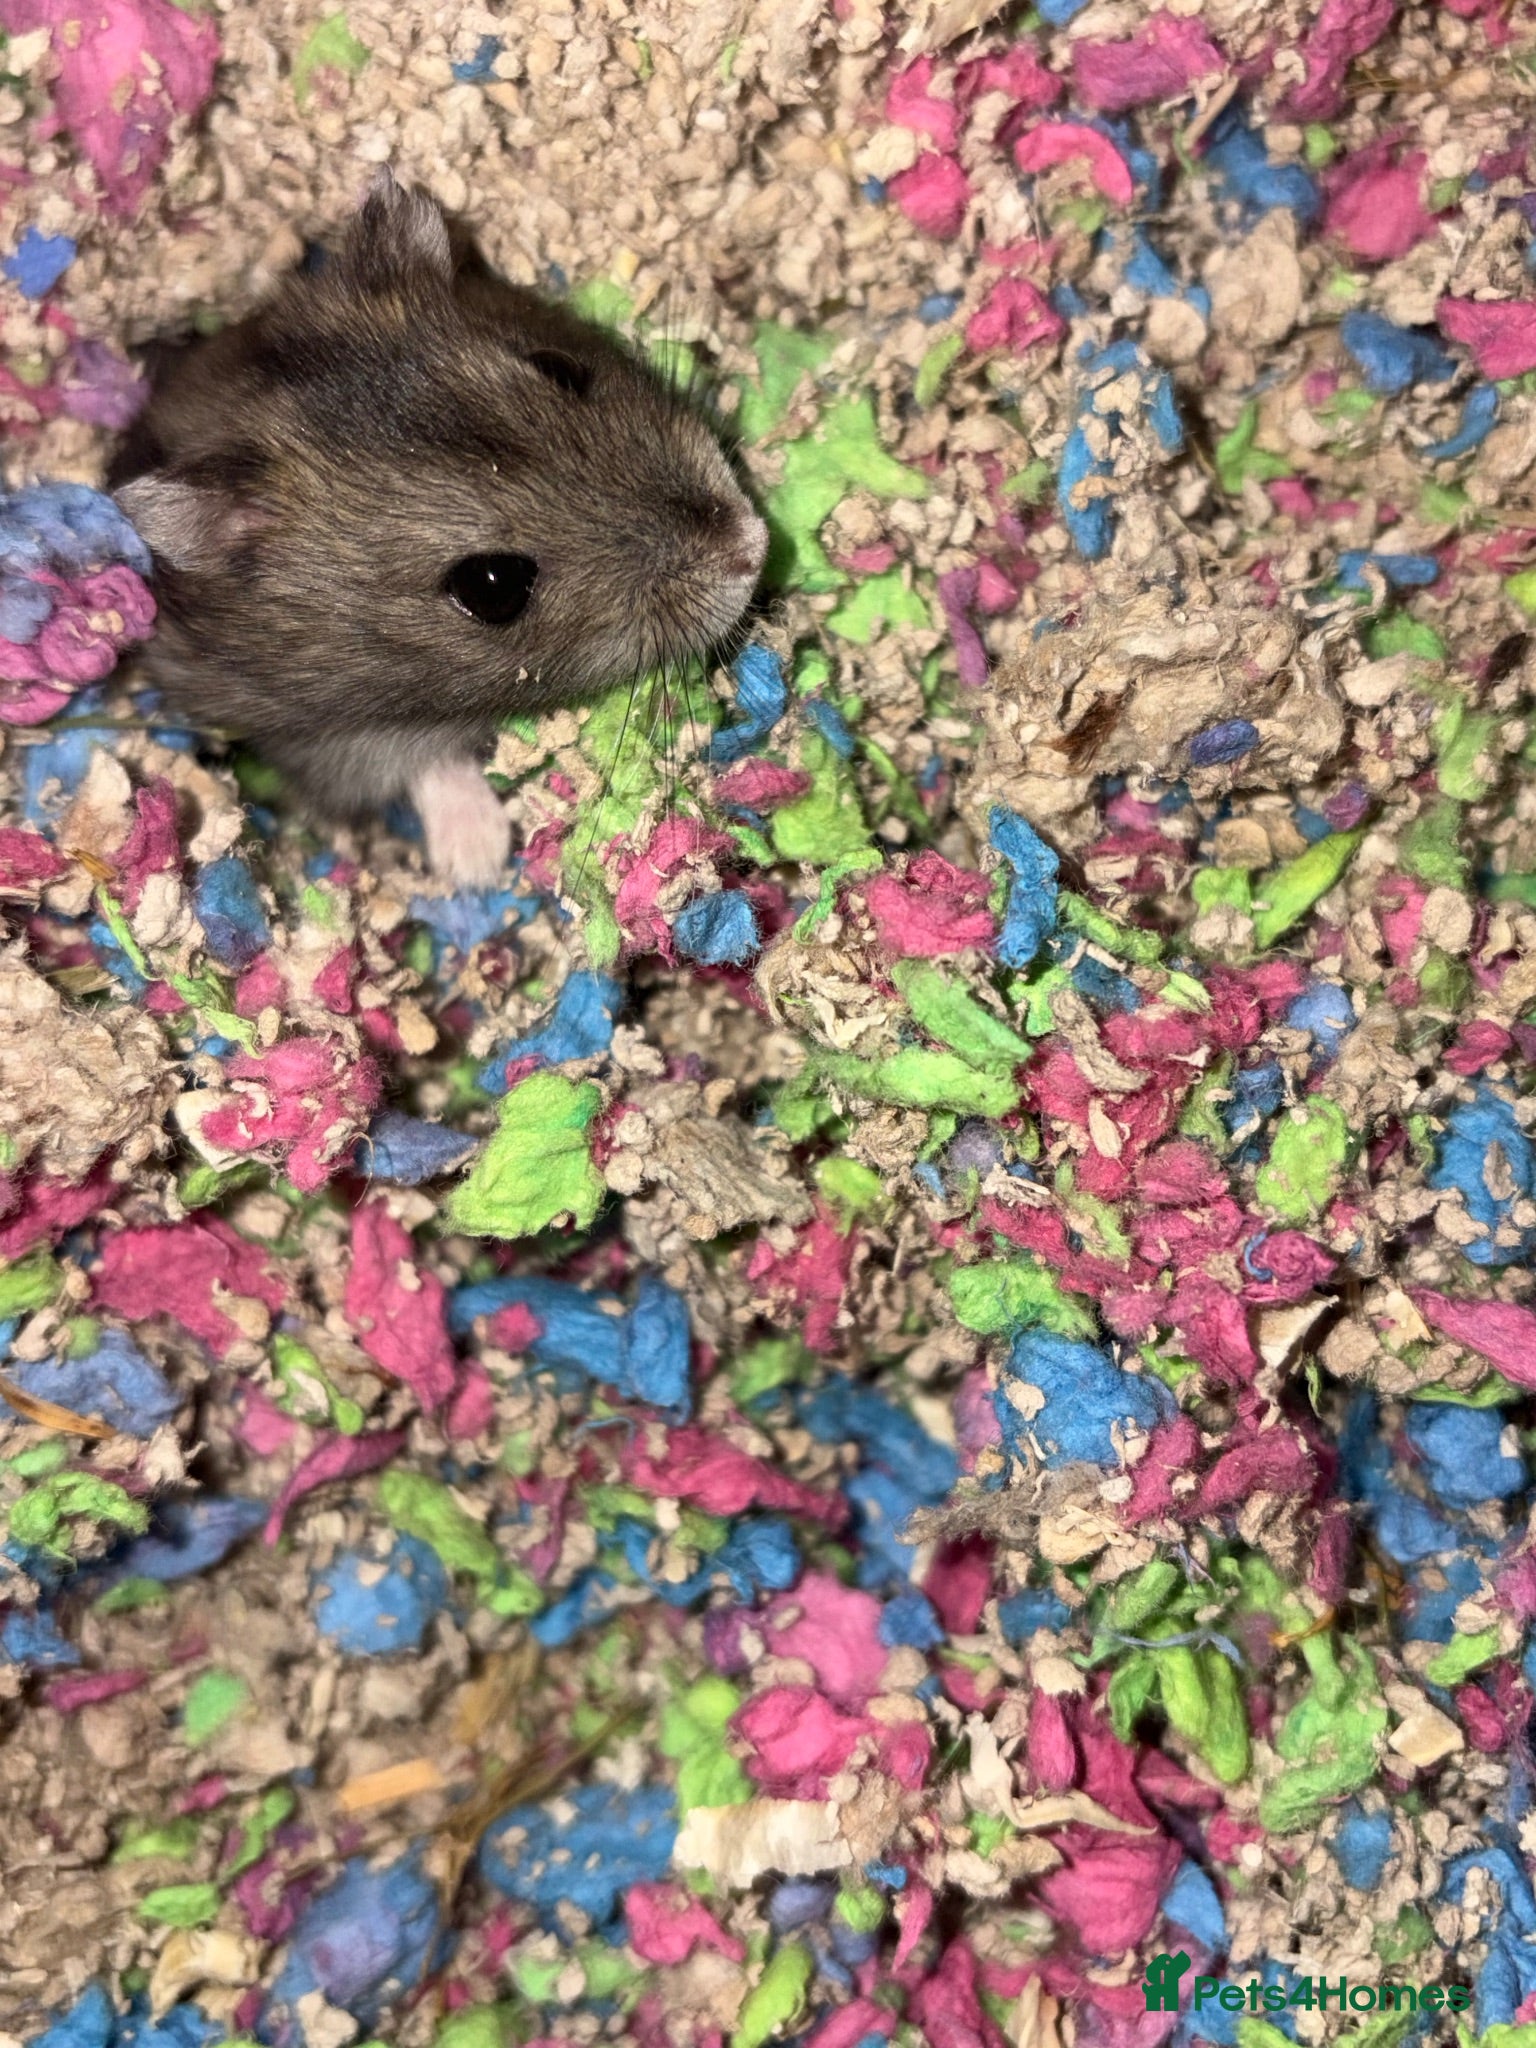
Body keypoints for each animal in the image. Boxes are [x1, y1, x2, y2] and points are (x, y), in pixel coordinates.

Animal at [108, 169, 768, 887]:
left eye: (561, 367)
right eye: (492, 586)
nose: (755, 545)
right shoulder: (321, 739)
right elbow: (424, 764)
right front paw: (480, 862)